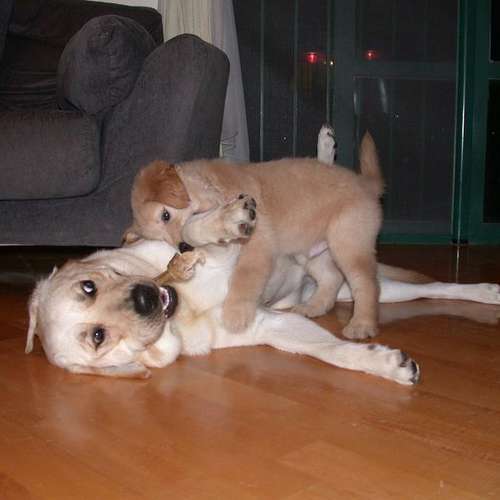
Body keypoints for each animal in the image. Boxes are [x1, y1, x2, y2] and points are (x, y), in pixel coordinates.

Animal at [26, 196, 500, 383]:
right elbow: (332, 351)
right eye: (98, 337)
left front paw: (228, 219)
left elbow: (193, 232)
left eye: (89, 285)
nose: (144, 298)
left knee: (438, 285)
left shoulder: (200, 250)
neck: (185, 307)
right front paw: (387, 365)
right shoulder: (268, 324)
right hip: (349, 293)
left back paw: (487, 292)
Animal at [126, 126, 384, 340]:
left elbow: (245, 276)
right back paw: (313, 306)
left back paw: (362, 324)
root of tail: (364, 183)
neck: (216, 184)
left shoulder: (258, 243)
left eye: (165, 215)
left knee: (367, 284)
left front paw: (236, 313)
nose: (183, 248)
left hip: (348, 244)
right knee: (332, 278)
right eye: (163, 239)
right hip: (309, 252)